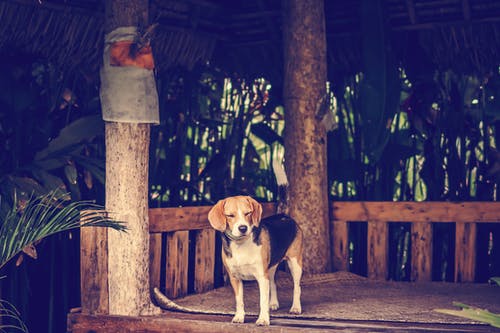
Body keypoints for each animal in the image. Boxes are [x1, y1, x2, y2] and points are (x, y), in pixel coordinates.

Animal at [206, 195, 302, 324]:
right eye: (230, 215)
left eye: (248, 213)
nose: (243, 228)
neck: (241, 244)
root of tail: (285, 217)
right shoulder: (235, 278)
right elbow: (239, 301)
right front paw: (239, 317)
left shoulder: (262, 276)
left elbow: (263, 301)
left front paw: (263, 319)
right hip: (270, 269)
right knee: (273, 283)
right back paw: (273, 303)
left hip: (295, 264)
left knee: (297, 287)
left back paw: (296, 307)